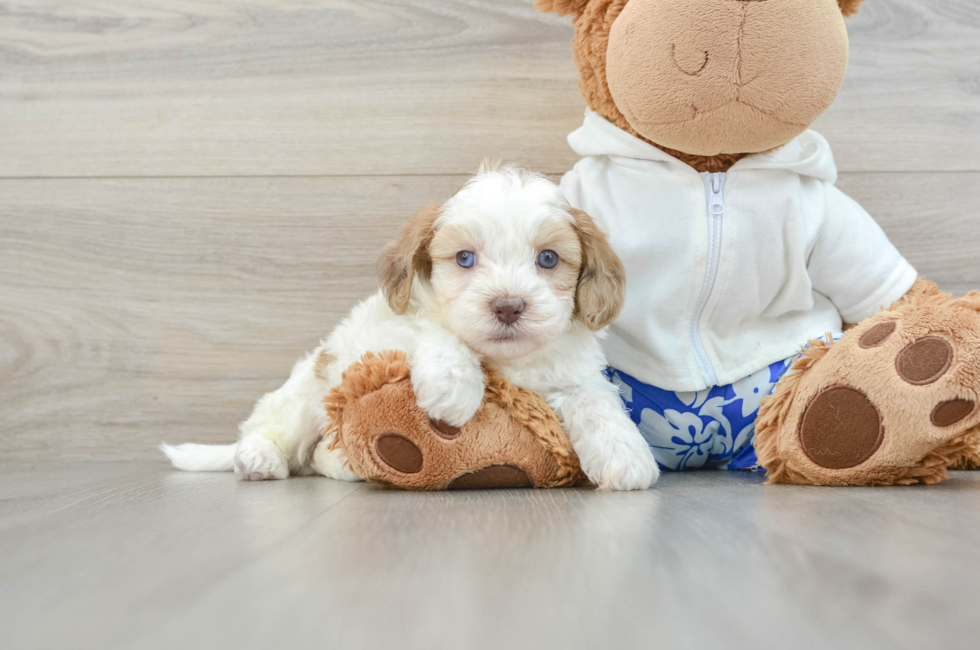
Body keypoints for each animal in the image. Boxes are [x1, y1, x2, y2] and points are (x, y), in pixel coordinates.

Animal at [163, 165, 660, 488]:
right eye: (465, 258)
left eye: (549, 259)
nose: (508, 306)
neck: (505, 361)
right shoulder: (383, 333)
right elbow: (433, 331)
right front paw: (453, 385)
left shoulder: (572, 370)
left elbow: (594, 398)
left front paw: (625, 453)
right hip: (307, 393)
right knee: (269, 429)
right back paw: (259, 458)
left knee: (319, 455)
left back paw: (342, 465)